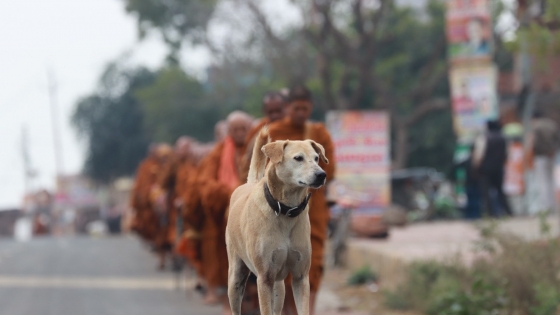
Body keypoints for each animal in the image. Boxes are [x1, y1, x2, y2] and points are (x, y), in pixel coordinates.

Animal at [225, 128, 328, 315]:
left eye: (317, 158)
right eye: (298, 158)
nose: (321, 174)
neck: (286, 210)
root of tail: (249, 184)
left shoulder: (301, 276)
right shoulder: (265, 278)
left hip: (279, 286)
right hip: (236, 277)